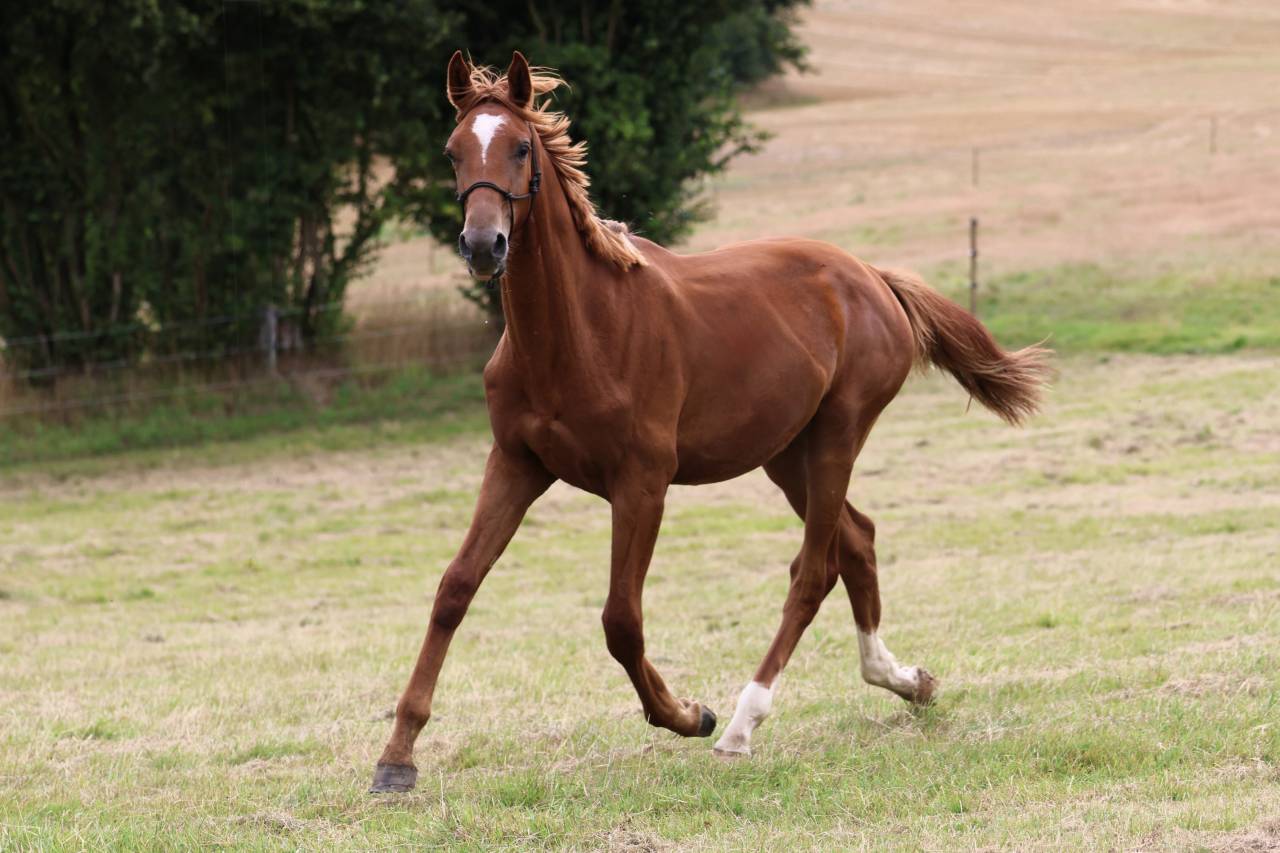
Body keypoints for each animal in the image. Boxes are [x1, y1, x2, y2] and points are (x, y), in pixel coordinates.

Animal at [370, 51, 1050, 793]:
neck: (578, 333)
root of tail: (872, 276)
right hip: (787, 454)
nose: (483, 245)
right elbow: (454, 589)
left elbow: (621, 620)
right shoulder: (517, 463)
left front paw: (688, 714)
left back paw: (742, 725)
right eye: (453, 150)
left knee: (813, 570)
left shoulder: (642, 484)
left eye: (521, 147)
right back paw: (905, 680)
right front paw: (397, 757)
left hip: (838, 434)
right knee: (858, 541)